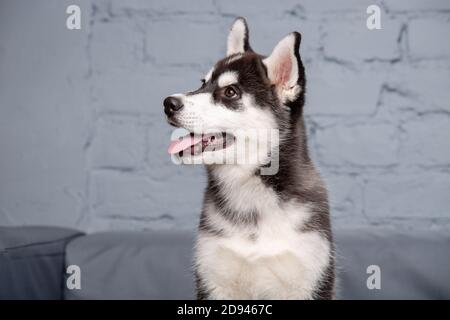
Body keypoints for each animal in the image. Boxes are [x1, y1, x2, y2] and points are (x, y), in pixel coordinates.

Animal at [163, 16, 334, 298]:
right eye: (202, 82)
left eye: (231, 92)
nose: (168, 103)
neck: (252, 194)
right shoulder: (212, 276)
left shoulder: (310, 276)